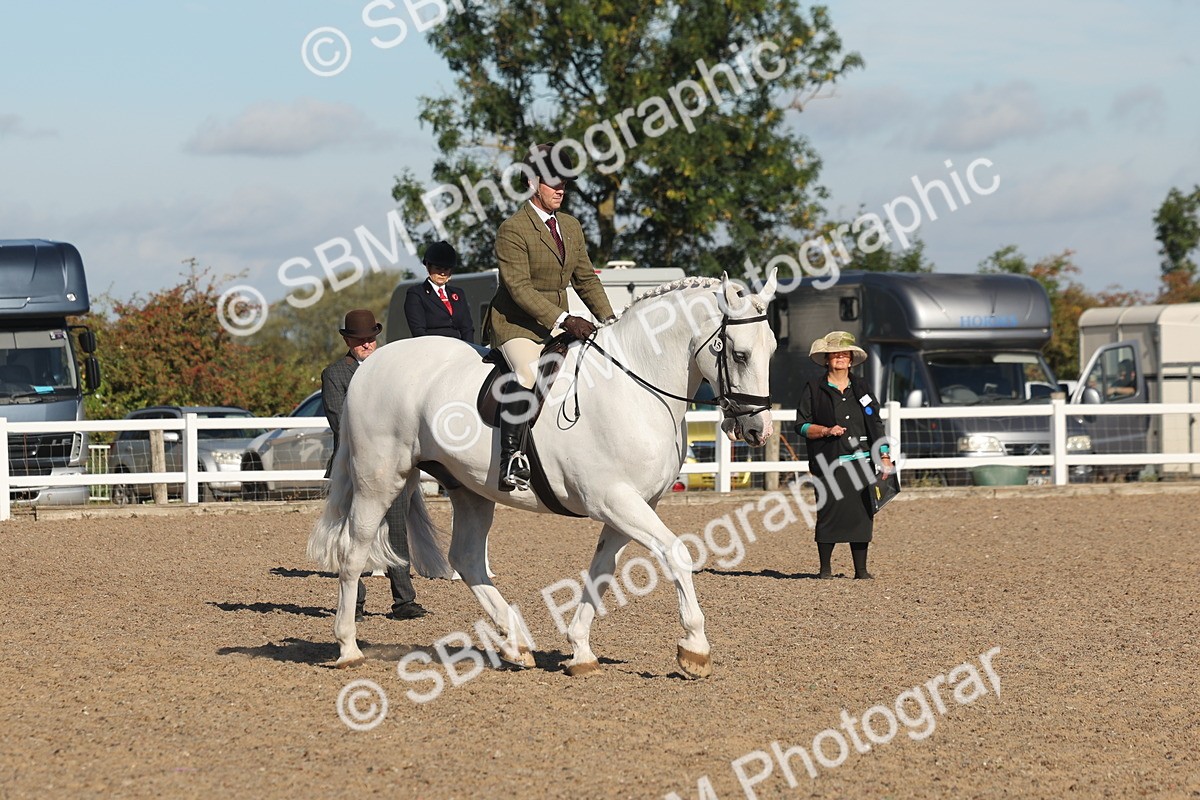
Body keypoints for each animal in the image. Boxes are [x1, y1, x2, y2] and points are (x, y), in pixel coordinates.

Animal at [308, 271, 779, 677]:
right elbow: (677, 554)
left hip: (469, 489)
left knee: (466, 559)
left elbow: (601, 571)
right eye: (739, 354)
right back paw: (348, 647)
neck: (635, 386)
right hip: (378, 481)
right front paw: (695, 649)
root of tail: (371, 366)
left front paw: (580, 650)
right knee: (353, 554)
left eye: (772, 349)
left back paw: (516, 645)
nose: (758, 429)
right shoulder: (616, 500)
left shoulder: (631, 506)